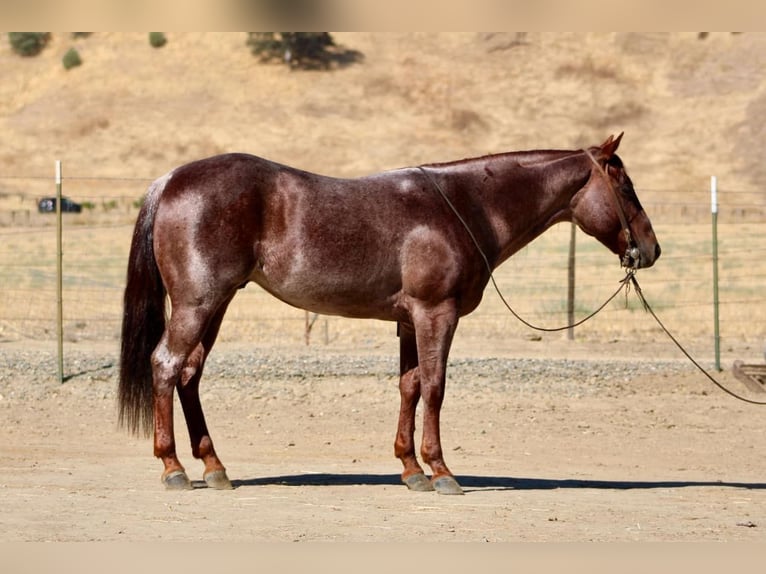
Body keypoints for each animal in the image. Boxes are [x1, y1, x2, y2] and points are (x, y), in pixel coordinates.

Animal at [118, 133, 660, 495]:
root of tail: (170, 180)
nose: (651, 250)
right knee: (166, 365)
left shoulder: (407, 321)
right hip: (198, 302)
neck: (465, 206)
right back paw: (173, 468)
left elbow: (410, 386)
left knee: (189, 374)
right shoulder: (436, 314)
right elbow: (436, 387)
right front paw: (441, 472)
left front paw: (410, 469)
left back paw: (214, 467)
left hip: (217, 304)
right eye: (626, 187)